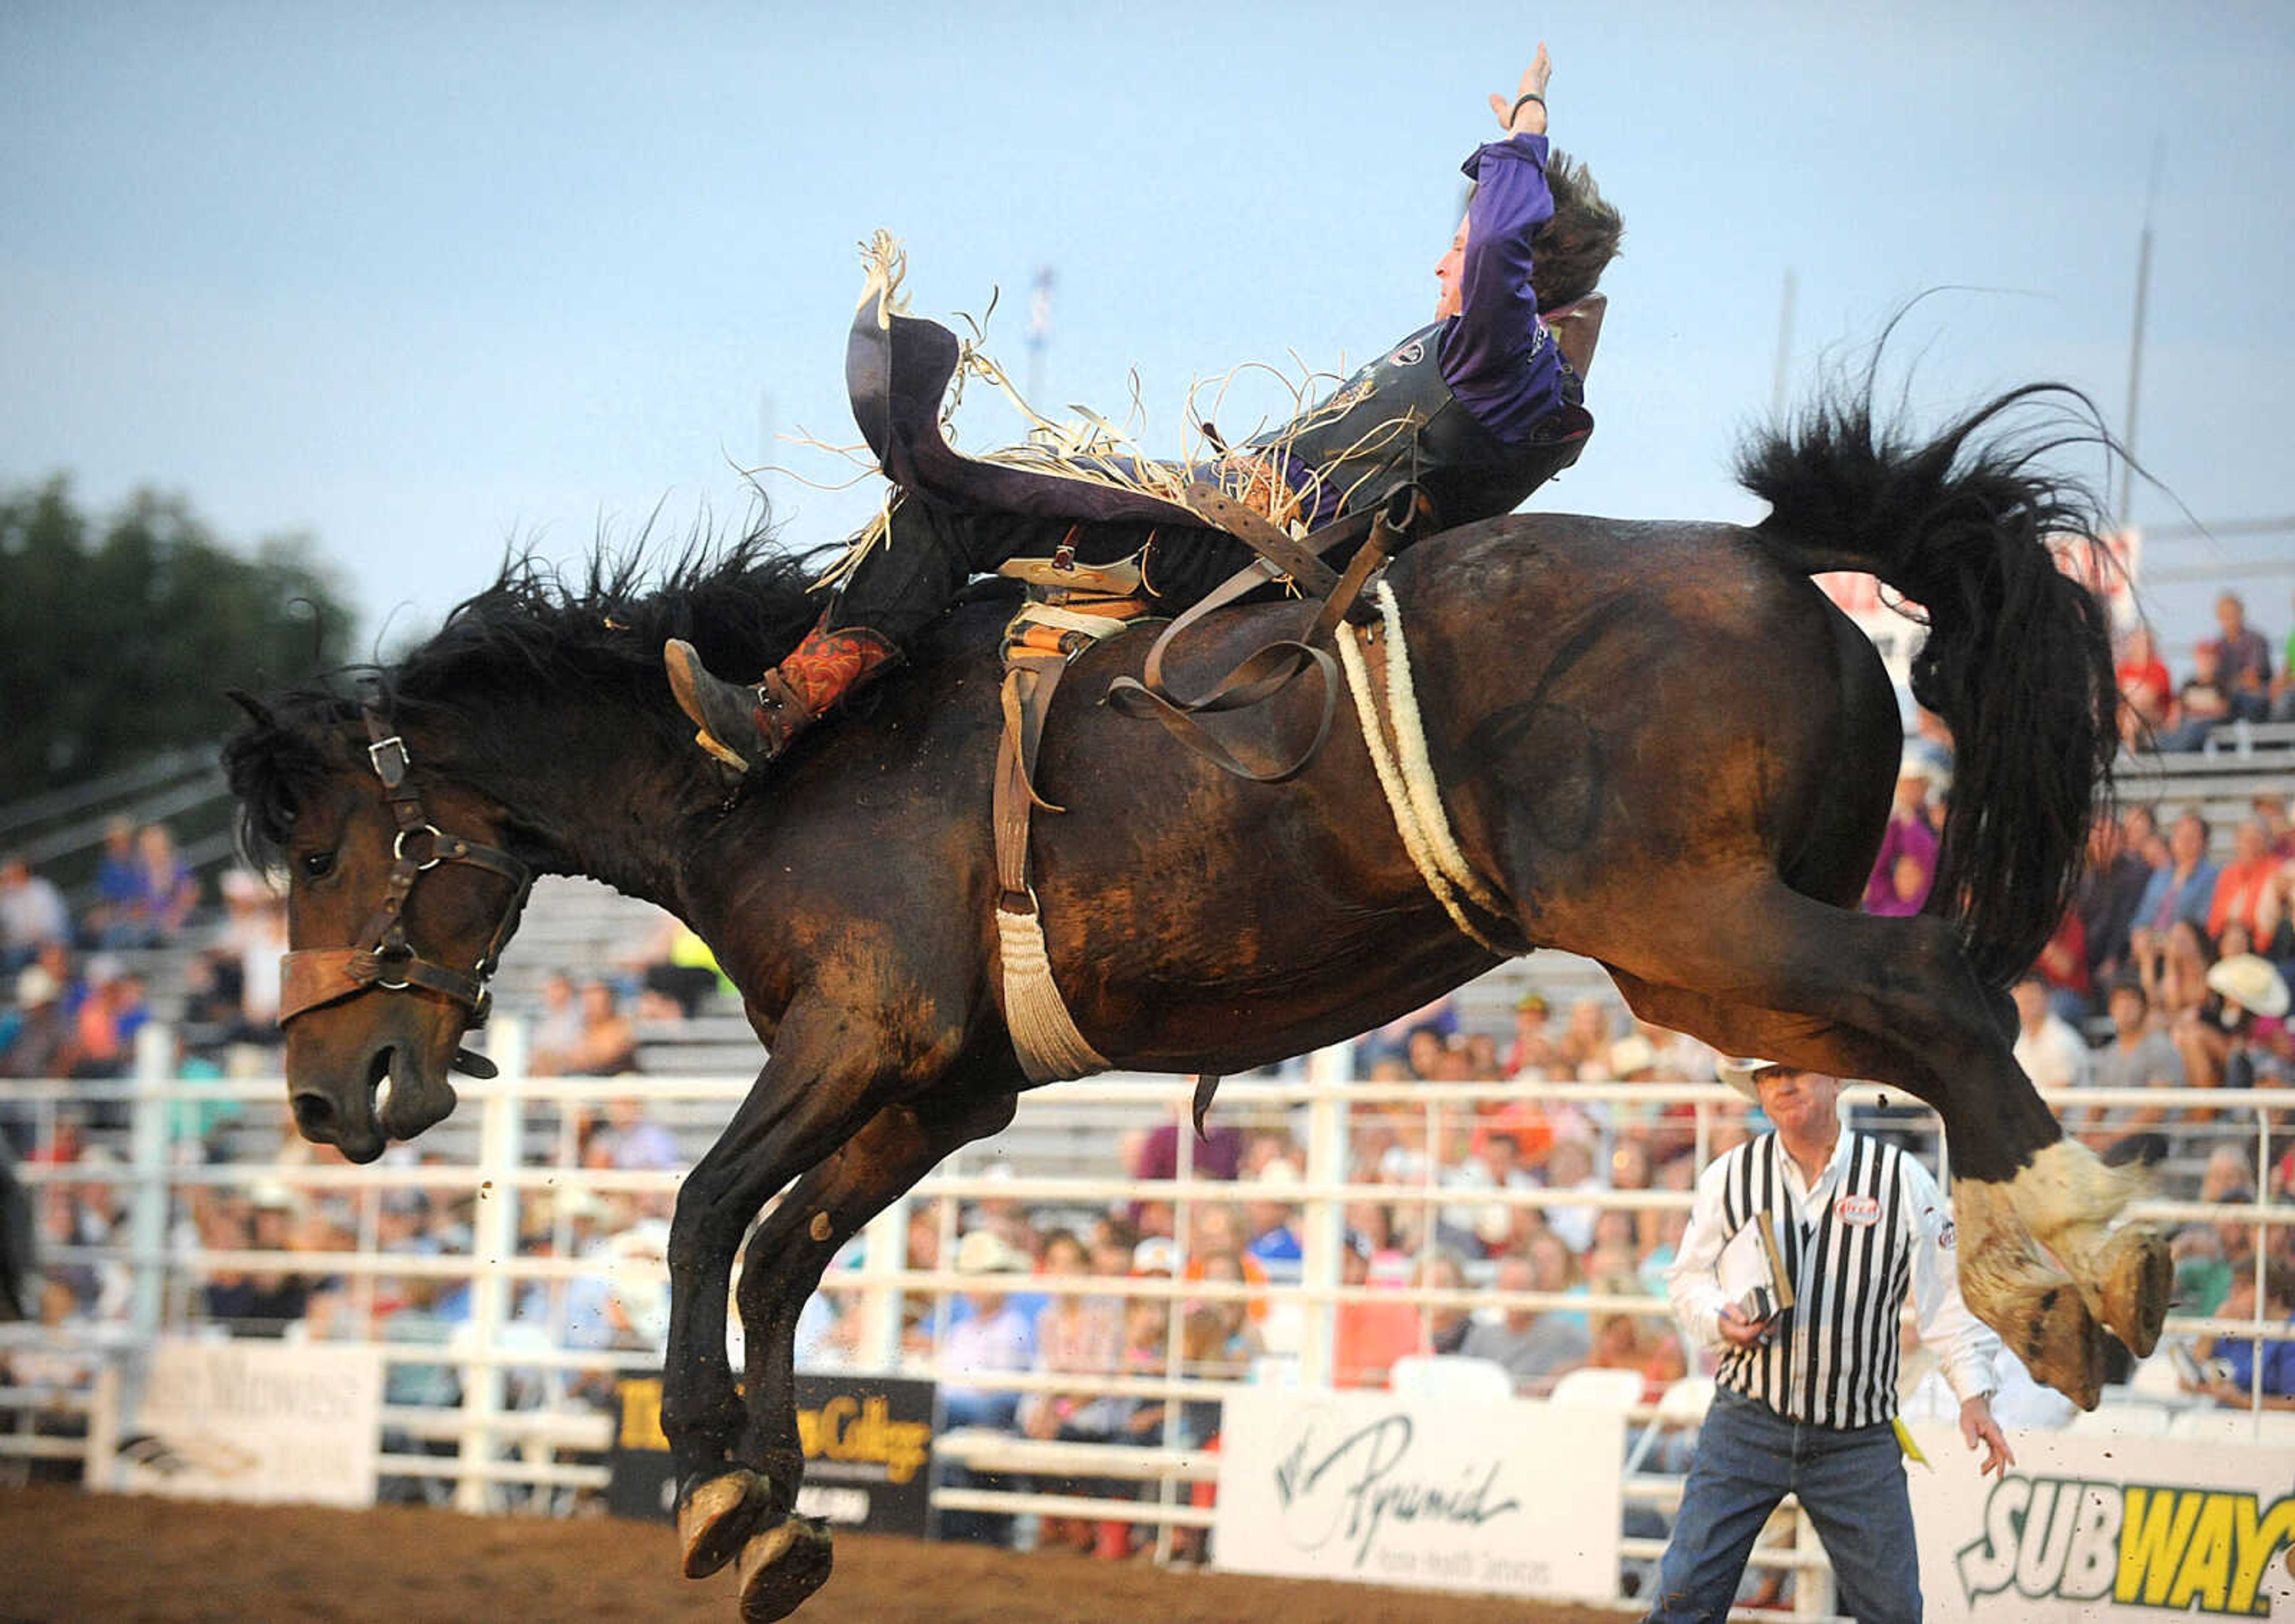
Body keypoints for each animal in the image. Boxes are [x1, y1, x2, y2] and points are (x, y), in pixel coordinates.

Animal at [219, 374, 2166, 1614]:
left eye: (313, 850)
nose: (320, 1090)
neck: (766, 771)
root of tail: (1771, 557)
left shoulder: (859, 1036)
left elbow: (704, 1213)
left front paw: (703, 1474)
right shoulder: (942, 1091)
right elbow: (782, 1256)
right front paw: (775, 1512)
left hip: (1682, 911)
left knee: (1937, 990)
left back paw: (2078, 1273)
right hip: (1703, 956)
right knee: (1907, 1033)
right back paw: (2056, 1271)